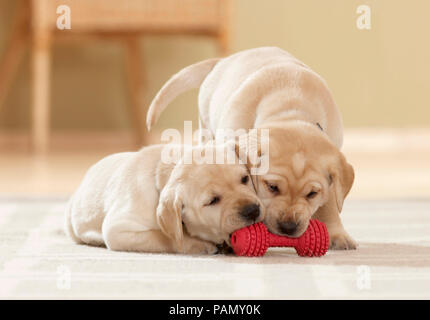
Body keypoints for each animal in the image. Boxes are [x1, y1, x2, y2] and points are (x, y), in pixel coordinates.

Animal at [65, 143, 264, 255]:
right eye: (213, 200)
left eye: (245, 179)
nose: (252, 210)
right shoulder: (117, 228)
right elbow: (164, 237)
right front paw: (200, 244)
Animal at [146, 45, 354, 250]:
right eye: (272, 187)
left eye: (312, 194)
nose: (288, 227)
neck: (291, 109)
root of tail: (222, 61)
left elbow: (330, 203)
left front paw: (337, 233)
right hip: (205, 125)